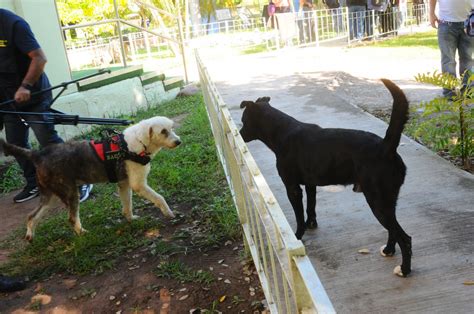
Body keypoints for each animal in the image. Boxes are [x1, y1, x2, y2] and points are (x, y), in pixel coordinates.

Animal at [239, 79, 412, 278]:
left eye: (244, 121)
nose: (239, 133)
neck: (282, 132)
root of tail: (386, 147)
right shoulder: (310, 184)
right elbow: (310, 206)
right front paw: (311, 224)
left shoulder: (293, 188)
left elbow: (299, 216)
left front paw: (298, 236)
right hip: (387, 201)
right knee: (393, 230)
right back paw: (389, 250)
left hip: (378, 202)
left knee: (405, 238)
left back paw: (405, 269)